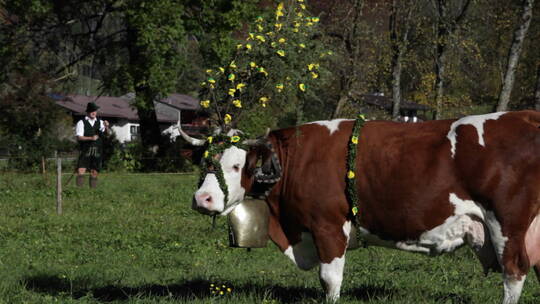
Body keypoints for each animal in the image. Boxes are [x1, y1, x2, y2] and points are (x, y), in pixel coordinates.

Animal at [180, 110, 540, 304]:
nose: (202, 199)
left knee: (514, 271)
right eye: (205, 161)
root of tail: (524, 115)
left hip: (507, 224)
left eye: (238, 165)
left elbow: (330, 278)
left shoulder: (327, 225)